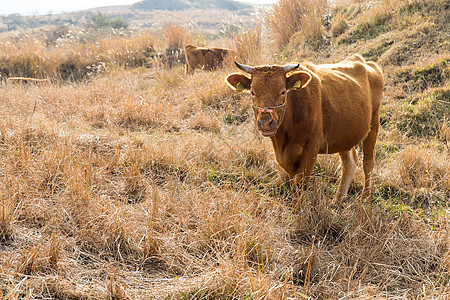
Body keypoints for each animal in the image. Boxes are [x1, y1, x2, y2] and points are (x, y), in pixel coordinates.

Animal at [225, 54, 384, 207]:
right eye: (252, 92)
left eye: (283, 92)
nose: (265, 122)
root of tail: (365, 62)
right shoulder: (287, 157)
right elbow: (294, 186)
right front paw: (296, 210)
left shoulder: (311, 148)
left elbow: (301, 184)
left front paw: (300, 212)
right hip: (344, 134)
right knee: (349, 161)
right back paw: (338, 200)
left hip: (373, 124)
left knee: (368, 162)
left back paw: (365, 199)